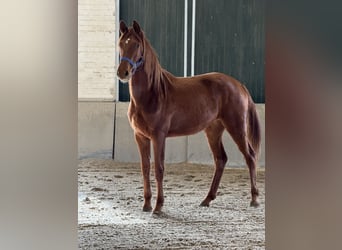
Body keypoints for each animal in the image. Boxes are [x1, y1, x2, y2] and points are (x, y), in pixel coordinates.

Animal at [116, 20, 260, 214]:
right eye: (121, 44)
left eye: (136, 44)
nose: (122, 73)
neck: (152, 93)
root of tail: (239, 85)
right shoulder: (140, 136)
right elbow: (145, 168)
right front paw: (146, 204)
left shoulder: (158, 136)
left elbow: (159, 169)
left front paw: (158, 206)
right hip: (213, 130)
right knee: (221, 159)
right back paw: (207, 199)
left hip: (236, 127)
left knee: (250, 156)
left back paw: (254, 199)